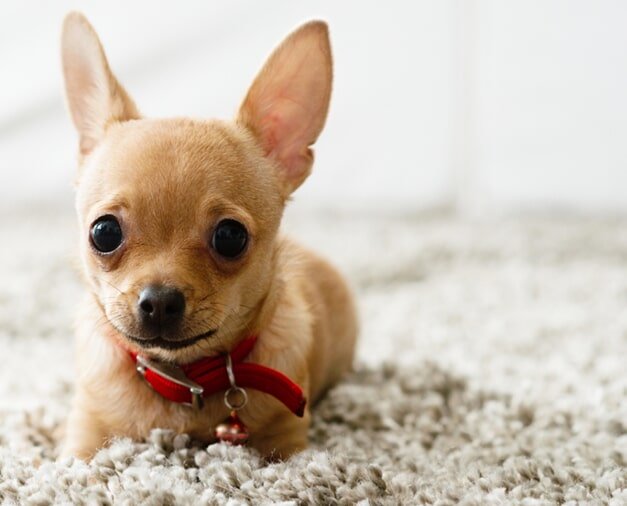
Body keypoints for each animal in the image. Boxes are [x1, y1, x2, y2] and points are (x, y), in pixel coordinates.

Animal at [62, 13, 360, 460]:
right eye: (104, 232)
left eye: (230, 238)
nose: (160, 301)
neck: (184, 381)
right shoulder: (82, 441)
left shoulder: (286, 443)